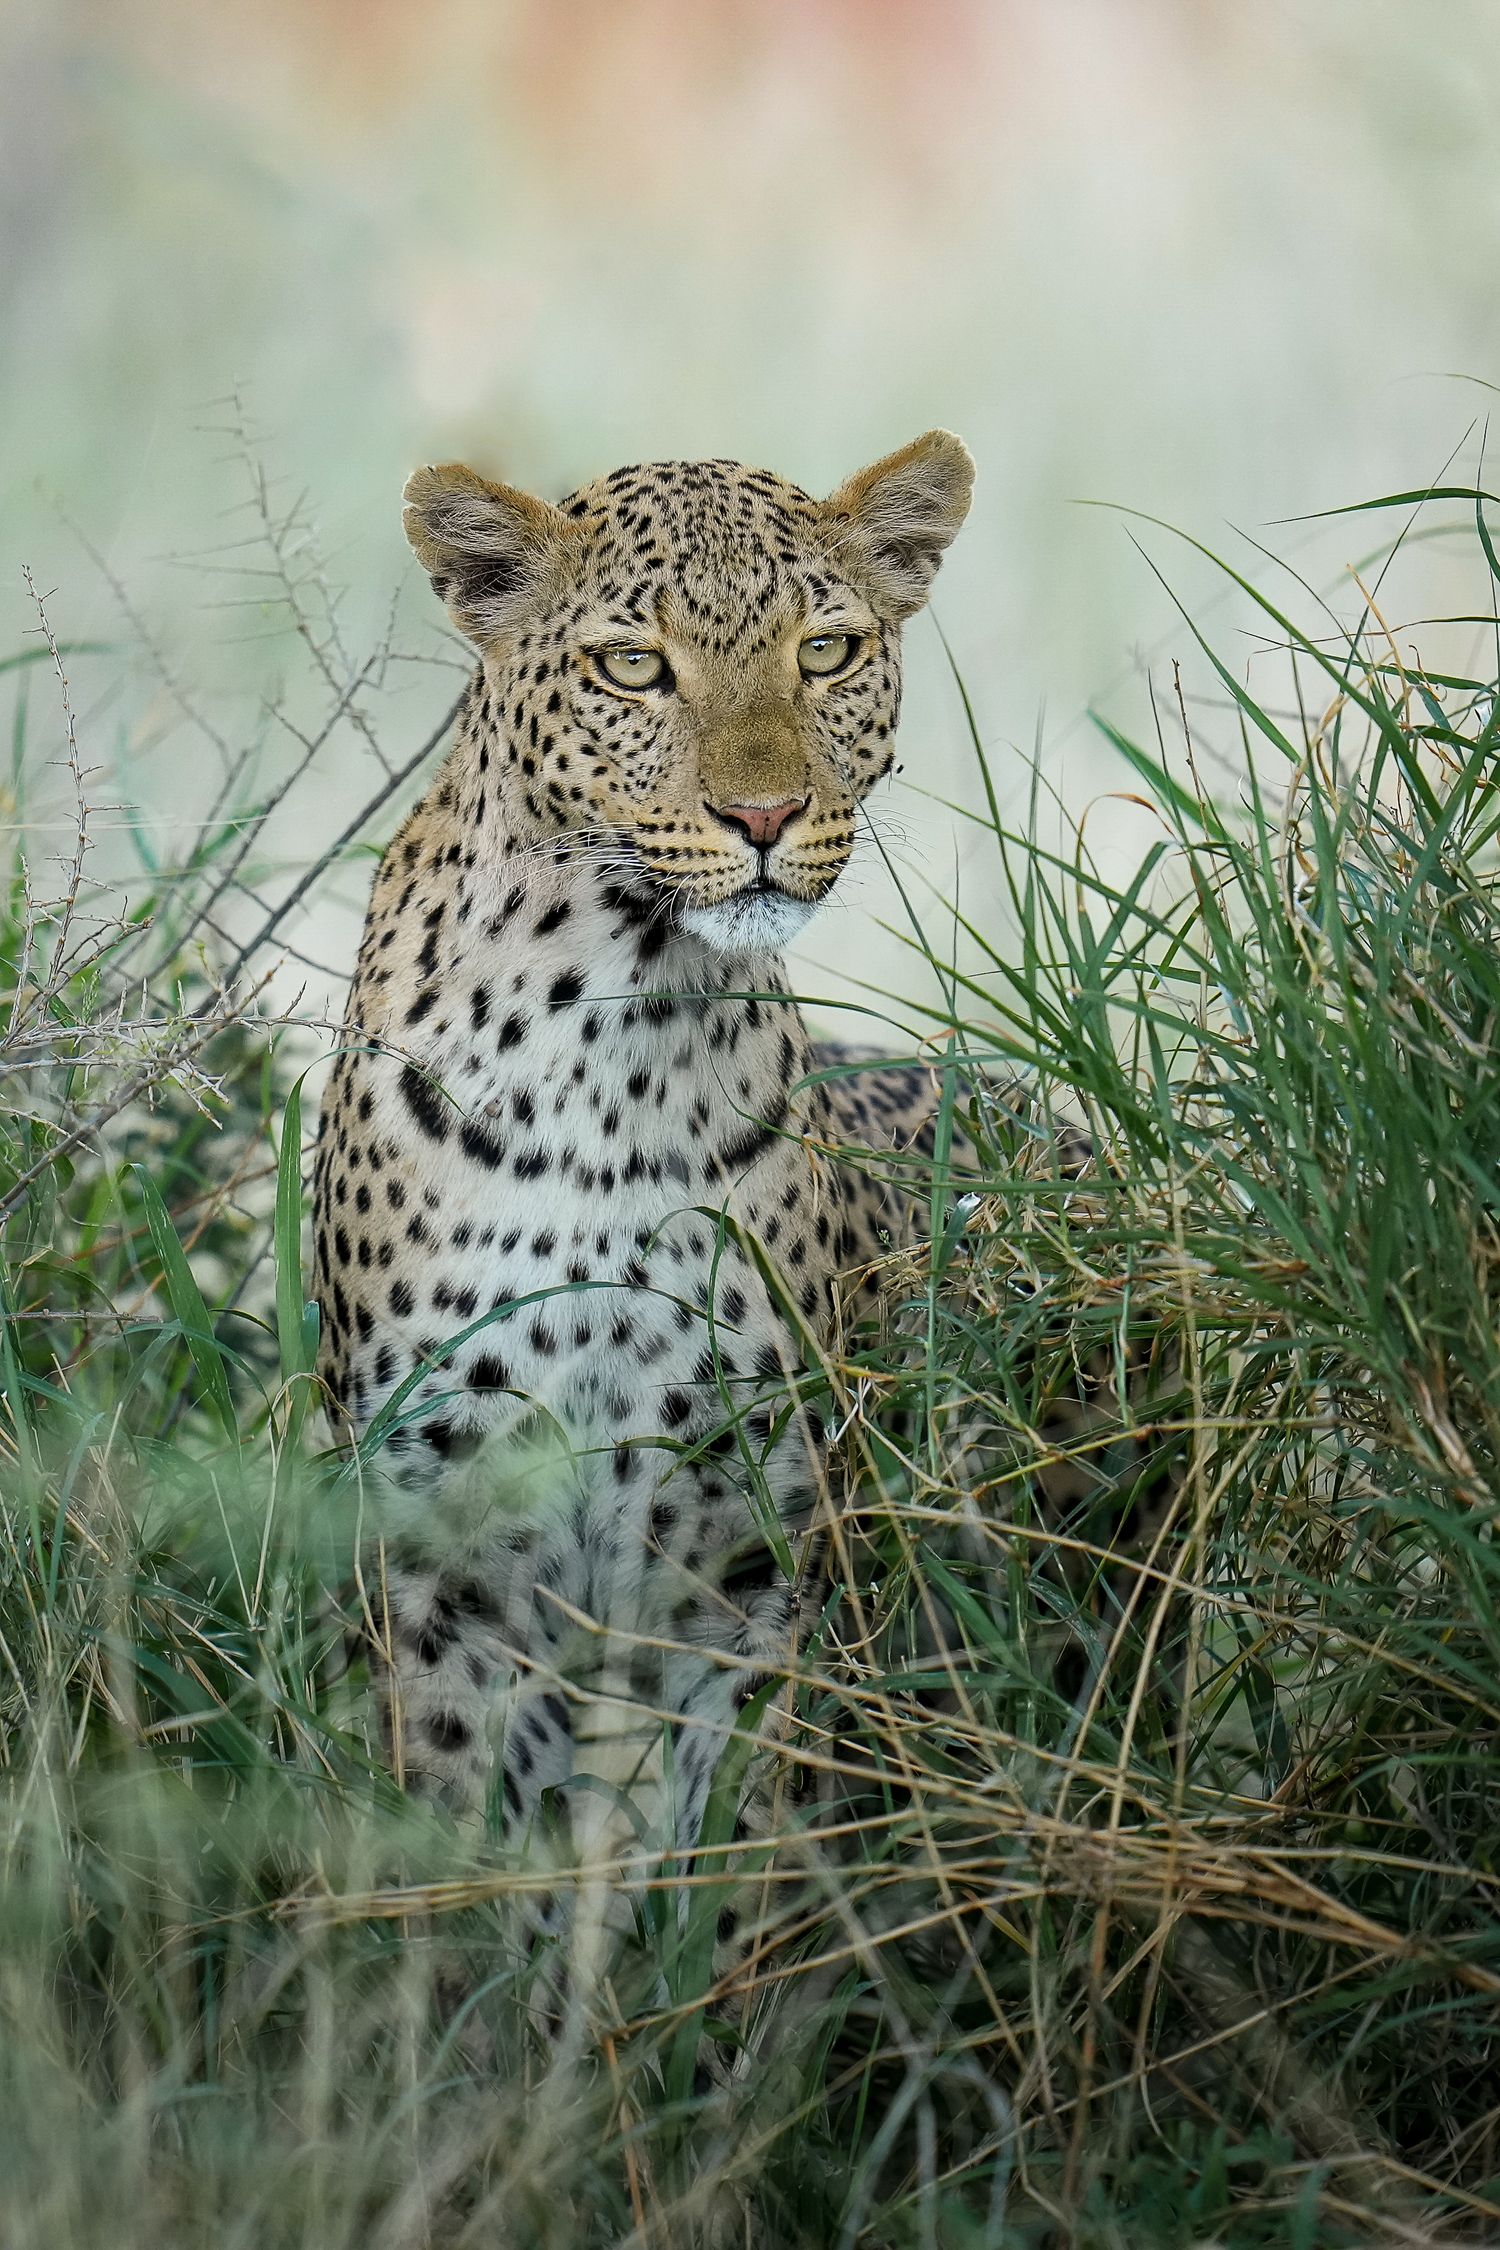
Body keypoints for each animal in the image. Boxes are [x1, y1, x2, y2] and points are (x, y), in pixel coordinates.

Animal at [311, 430, 975, 2033]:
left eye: (826, 650)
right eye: (633, 666)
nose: (764, 822)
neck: (621, 1028)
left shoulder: (753, 1576)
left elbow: (734, 1857)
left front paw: (702, 2049)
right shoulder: (449, 1574)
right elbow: (474, 1858)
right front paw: (491, 2053)